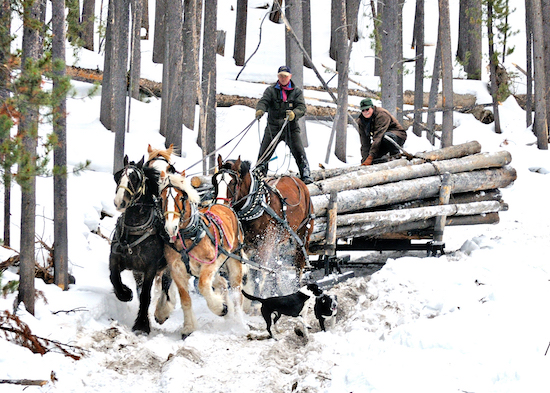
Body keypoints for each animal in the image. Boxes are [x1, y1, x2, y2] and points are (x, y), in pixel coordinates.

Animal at [110, 155, 175, 332]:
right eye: (118, 176)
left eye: (135, 178)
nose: (119, 202)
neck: (134, 231)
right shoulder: (117, 260)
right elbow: (114, 277)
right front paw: (125, 293)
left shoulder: (150, 268)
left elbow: (146, 295)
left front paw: (142, 324)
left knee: (165, 286)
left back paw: (161, 312)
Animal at [157, 171, 248, 336]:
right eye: (162, 198)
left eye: (181, 197)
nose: (171, 228)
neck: (188, 236)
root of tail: (223, 205)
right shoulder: (177, 271)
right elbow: (185, 299)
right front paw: (188, 327)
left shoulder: (208, 265)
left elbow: (203, 287)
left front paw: (220, 308)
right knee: (222, 283)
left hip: (234, 260)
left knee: (236, 291)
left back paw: (238, 322)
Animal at [213, 154, 314, 294]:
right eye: (215, 181)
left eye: (232, 182)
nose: (220, 208)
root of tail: (297, 180)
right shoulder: (247, 246)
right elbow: (249, 273)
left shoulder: (264, 245)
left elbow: (259, 274)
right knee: (277, 265)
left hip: (303, 232)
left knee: (299, 262)